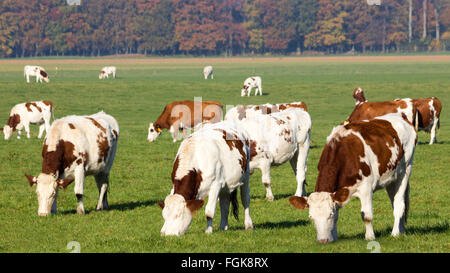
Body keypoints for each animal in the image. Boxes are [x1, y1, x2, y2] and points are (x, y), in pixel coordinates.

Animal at [290, 112, 416, 242]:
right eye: (311, 216)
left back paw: (395, 233)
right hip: (391, 178)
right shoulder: (338, 193)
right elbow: (337, 215)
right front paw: (334, 236)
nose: (323, 240)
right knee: (395, 202)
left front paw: (370, 237)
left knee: (399, 204)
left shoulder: (366, 188)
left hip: (405, 170)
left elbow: (366, 215)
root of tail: (401, 117)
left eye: (329, 214)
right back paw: (402, 230)